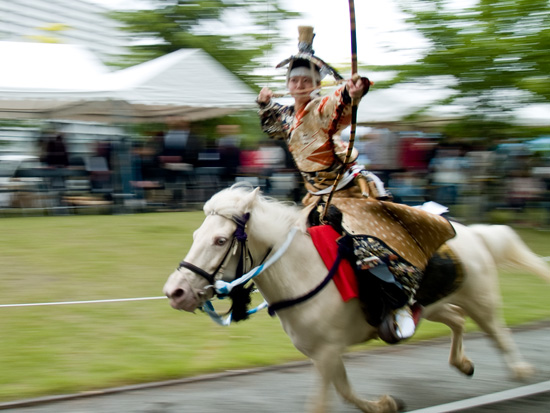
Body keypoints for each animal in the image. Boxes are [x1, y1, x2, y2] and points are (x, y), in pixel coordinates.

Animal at [164, 185, 550, 410]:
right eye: (197, 234)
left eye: (219, 240)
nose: (175, 292)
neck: (303, 272)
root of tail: (474, 233)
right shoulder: (324, 354)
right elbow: (345, 391)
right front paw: (384, 403)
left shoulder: (327, 352)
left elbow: (322, 403)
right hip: (430, 307)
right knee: (456, 319)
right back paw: (464, 364)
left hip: (481, 298)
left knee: (497, 332)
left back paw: (521, 371)